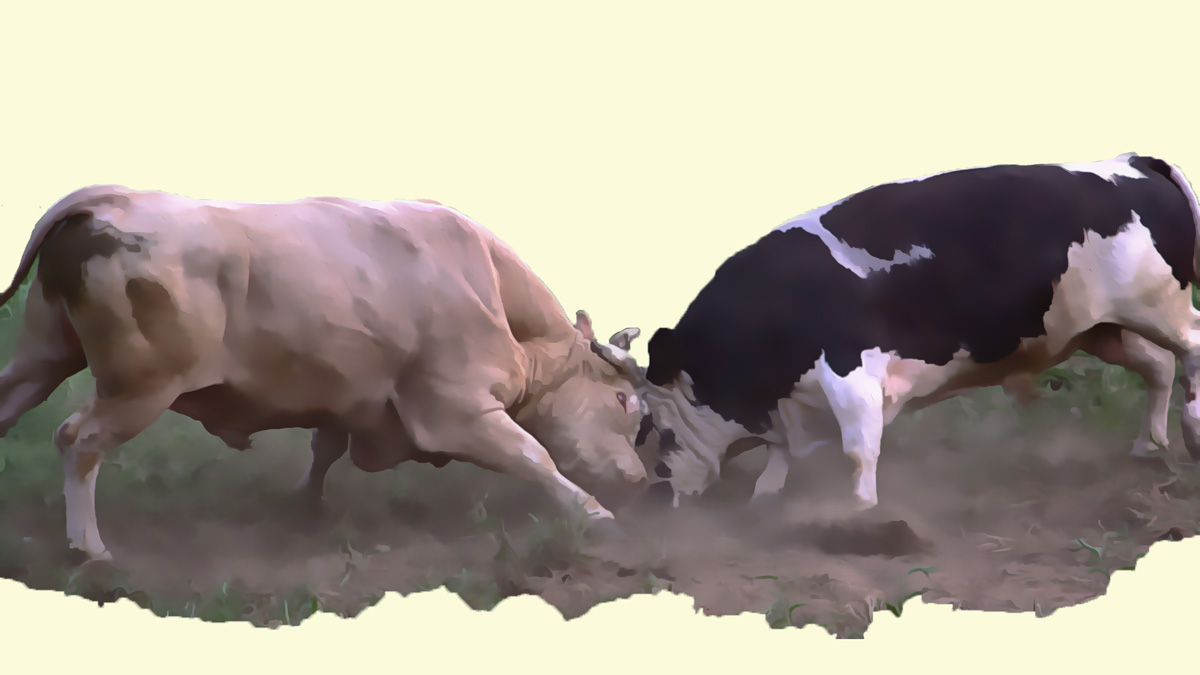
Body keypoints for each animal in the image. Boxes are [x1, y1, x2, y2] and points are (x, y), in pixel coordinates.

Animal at [0, 185, 649, 562]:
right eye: (625, 403)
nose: (641, 479)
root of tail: (106, 200)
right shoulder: (456, 409)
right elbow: (532, 455)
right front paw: (596, 514)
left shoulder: (350, 397)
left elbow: (324, 448)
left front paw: (305, 507)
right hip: (140, 385)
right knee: (78, 439)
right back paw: (90, 547)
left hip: (42, 355)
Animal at [598, 152, 1200, 511]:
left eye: (657, 432)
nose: (656, 495)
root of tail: (1131, 161)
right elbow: (779, 451)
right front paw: (767, 497)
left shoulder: (852, 374)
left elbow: (858, 450)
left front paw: (858, 516)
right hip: (1102, 328)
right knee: (1158, 366)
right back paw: (1148, 446)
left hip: (1158, 308)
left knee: (1190, 349)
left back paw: (1191, 430)